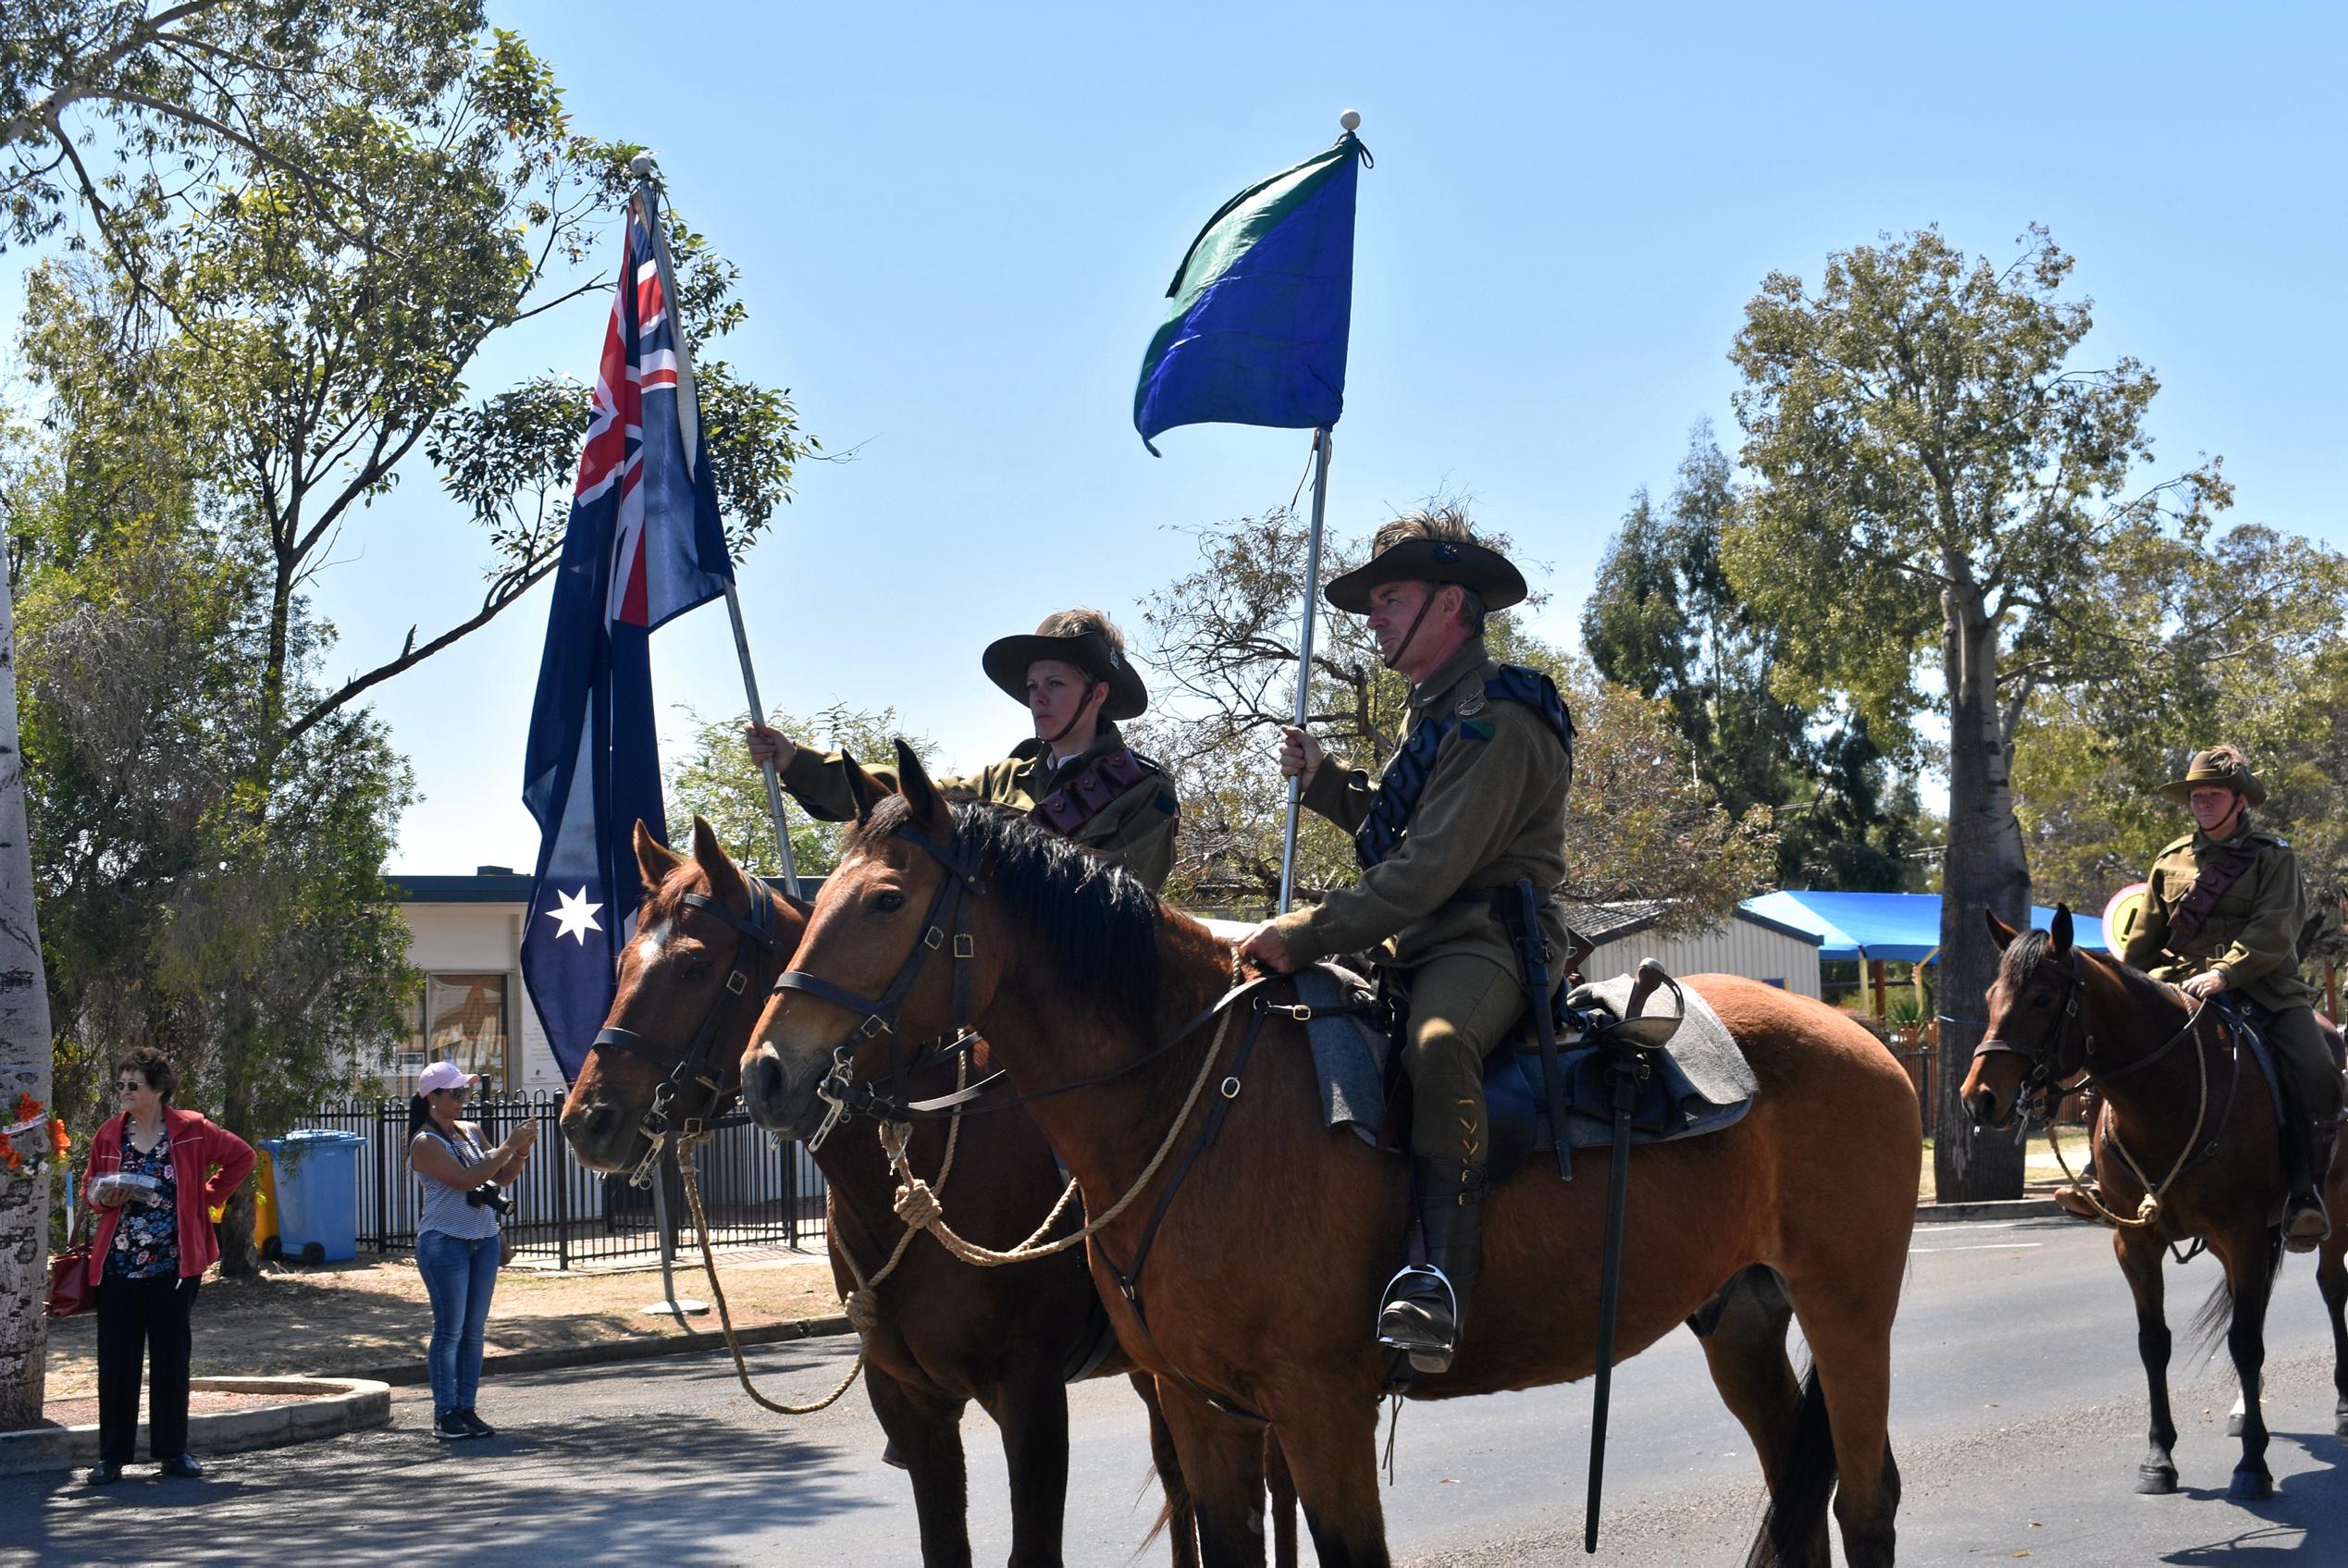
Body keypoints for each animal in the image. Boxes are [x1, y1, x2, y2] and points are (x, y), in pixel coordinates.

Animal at [556, 821, 1286, 1567]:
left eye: (693, 967)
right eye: (622, 961)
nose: (588, 1122)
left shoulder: (1032, 1396)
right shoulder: (912, 1401)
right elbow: (944, 1544)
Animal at [736, 746, 1925, 1567]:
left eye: (886, 901)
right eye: (811, 903)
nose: (767, 1073)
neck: (1191, 1094)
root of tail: (1869, 1041)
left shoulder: (1317, 1408)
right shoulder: (1203, 1408)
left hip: (1850, 1310)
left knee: (1866, 1501)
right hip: (1742, 1313)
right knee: (1800, 1496)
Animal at [1962, 910, 2348, 1501]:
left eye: (2043, 999)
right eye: (1990, 996)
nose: (1978, 1098)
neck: (2168, 1095)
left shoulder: (2242, 1233)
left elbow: (2245, 1343)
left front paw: (2252, 1465)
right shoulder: (2137, 1242)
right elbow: (2155, 1344)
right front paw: (2159, 1457)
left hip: (2331, 1210)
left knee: (2331, 1290)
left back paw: (2343, 1404)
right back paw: (2244, 1406)